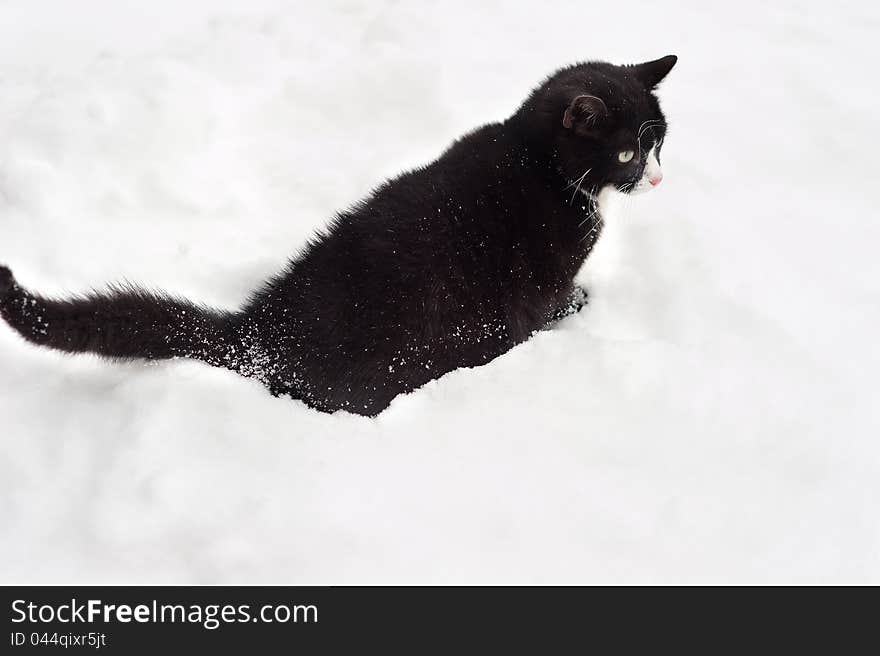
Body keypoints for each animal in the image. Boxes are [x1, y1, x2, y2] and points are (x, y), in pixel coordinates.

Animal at [0, 56, 680, 416]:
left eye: (658, 141)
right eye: (626, 152)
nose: (657, 177)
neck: (538, 161)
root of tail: (260, 335)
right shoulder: (539, 276)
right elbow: (545, 306)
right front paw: (577, 307)